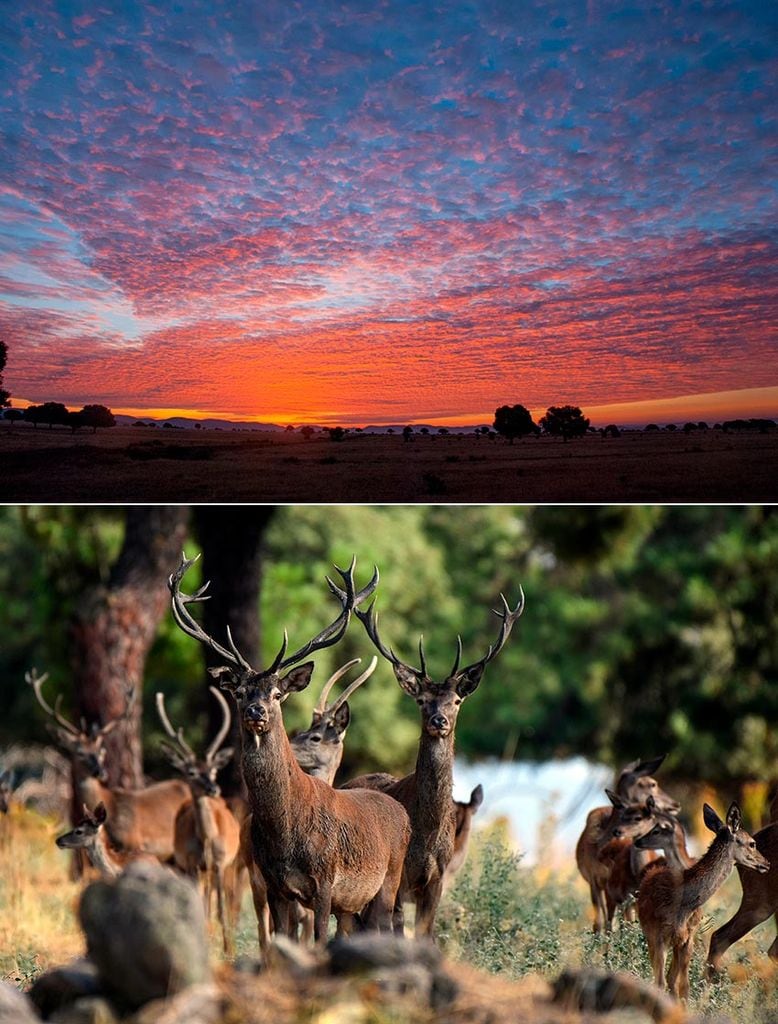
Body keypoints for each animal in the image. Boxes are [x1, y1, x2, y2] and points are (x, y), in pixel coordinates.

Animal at [156, 684, 241, 954]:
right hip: (190, 867)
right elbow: (199, 904)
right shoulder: (192, 863)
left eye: (213, 770)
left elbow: (222, 909)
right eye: (191, 772)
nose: (213, 788)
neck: (206, 839)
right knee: (202, 898)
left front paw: (228, 949)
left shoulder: (221, 862)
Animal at [168, 557, 413, 946]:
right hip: (351, 904)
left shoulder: (325, 881)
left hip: (388, 880)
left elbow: (316, 942)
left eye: (277, 693)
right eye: (239, 692)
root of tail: (403, 813)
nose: (256, 712)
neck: (285, 830)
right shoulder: (275, 885)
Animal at [339, 589, 522, 937]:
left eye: (457, 700)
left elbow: (425, 934)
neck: (426, 836)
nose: (439, 721)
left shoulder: (437, 879)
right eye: (421, 700)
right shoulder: (399, 880)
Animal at [634, 798, 769, 999]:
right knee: (661, 978)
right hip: (651, 934)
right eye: (752, 843)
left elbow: (683, 986)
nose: (766, 863)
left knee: (671, 979)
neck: (682, 904)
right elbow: (661, 982)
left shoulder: (688, 938)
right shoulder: (658, 934)